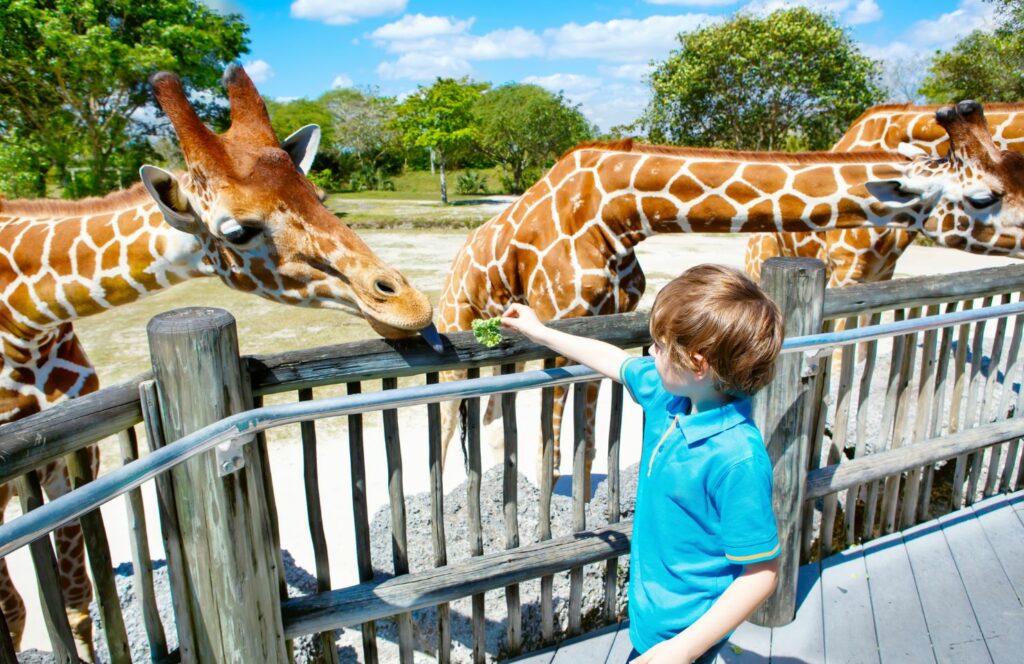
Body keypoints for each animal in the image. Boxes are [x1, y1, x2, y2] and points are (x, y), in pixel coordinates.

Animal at [0, 64, 436, 655]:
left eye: (318, 194)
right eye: (238, 230)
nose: (410, 305)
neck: (27, 317)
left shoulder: (69, 458)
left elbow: (74, 602)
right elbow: (21, 609)